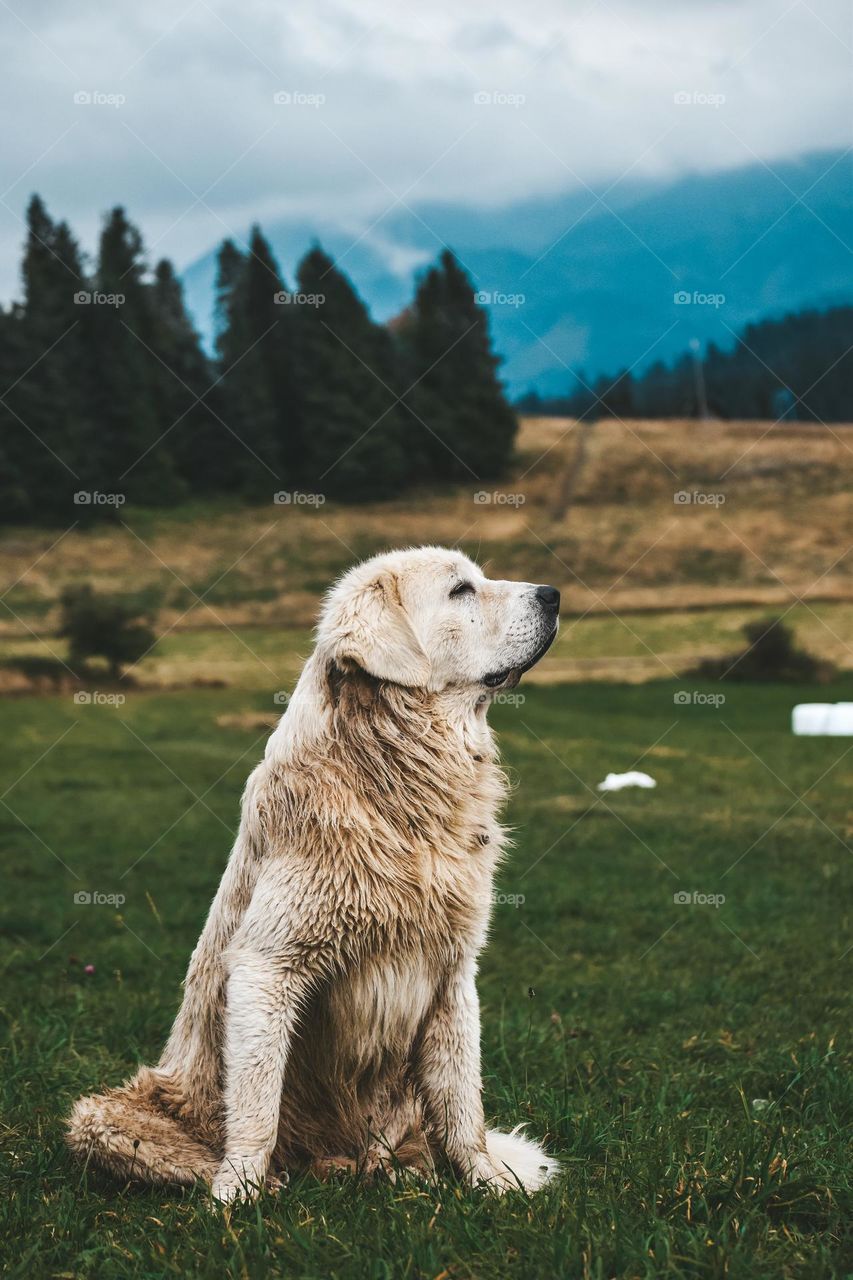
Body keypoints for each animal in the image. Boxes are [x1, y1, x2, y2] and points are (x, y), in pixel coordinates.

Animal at [66, 547, 558, 1198]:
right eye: (461, 591)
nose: (554, 594)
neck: (397, 782)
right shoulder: (267, 964)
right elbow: (256, 1103)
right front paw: (238, 1192)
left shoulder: (453, 973)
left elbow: (462, 1102)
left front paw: (487, 1181)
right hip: (105, 1118)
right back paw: (276, 1181)